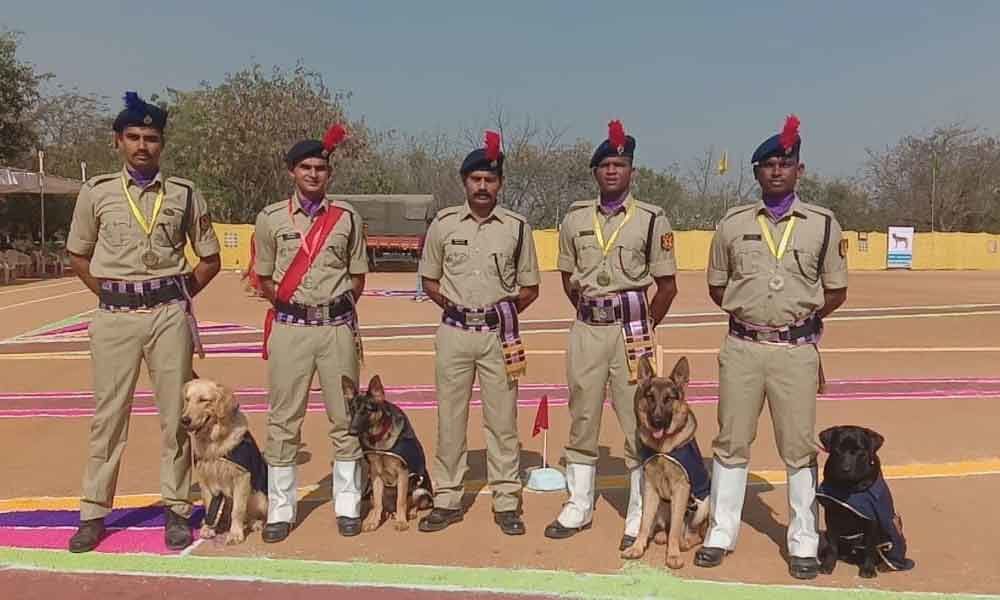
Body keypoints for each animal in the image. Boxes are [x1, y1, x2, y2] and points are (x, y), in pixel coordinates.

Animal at [344, 372, 434, 532]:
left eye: (367, 409)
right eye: (352, 409)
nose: (351, 432)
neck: (379, 438)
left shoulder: (403, 473)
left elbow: (401, 501)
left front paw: (401, 522)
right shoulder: (375, 475)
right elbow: (378, 504)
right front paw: (373, 522)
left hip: (420, 491)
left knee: (411, 503)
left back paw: (407, 514)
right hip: (371, 490)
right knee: (380, 505)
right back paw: (386, 514)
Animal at [624, 356, 712, 568]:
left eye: (668, 399)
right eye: (650, 397)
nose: (656, 421)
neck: (663, 448)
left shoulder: (681, 490)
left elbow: (676, 529)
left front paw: (672, 555)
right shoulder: (650, 488)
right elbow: (644, 523)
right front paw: (637, 548)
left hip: (702, 504)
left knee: (690, 532)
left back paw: (684, 542)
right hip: (662, 506)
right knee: (665, 527)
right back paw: (661, 536)